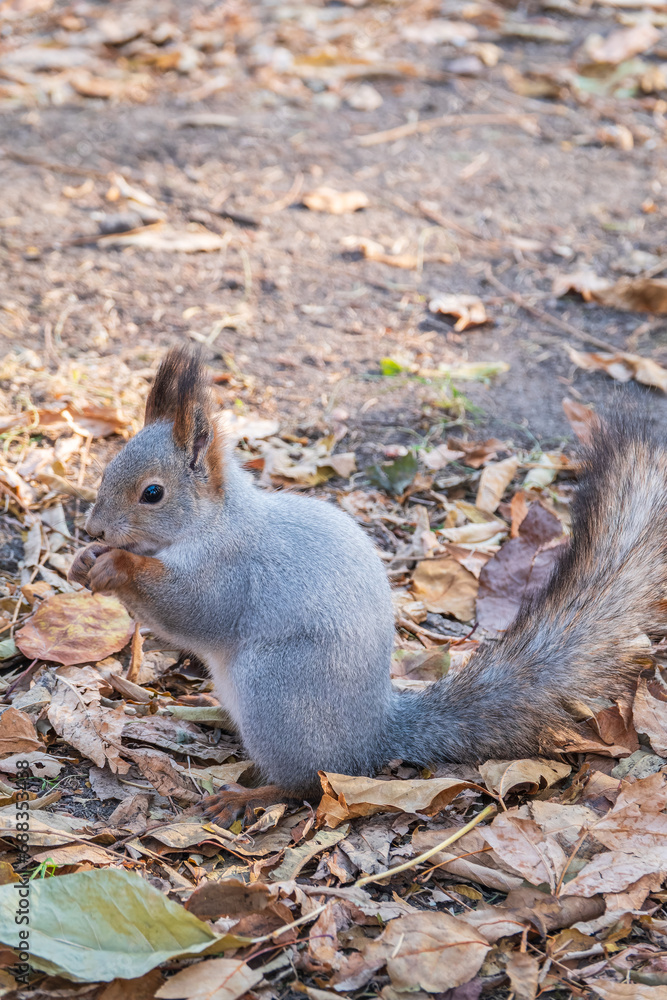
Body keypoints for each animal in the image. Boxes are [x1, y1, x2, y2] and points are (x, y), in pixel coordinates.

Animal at [69, 348, 662, 825]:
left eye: (152, 493)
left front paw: (116, 566)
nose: (93, 529)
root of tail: (372, 731)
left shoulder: (232, 573)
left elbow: (192, 610)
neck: (213, 523)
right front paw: (82, 562)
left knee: (310, 782)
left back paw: (248, 797)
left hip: (277, 692)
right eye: (108, 469)